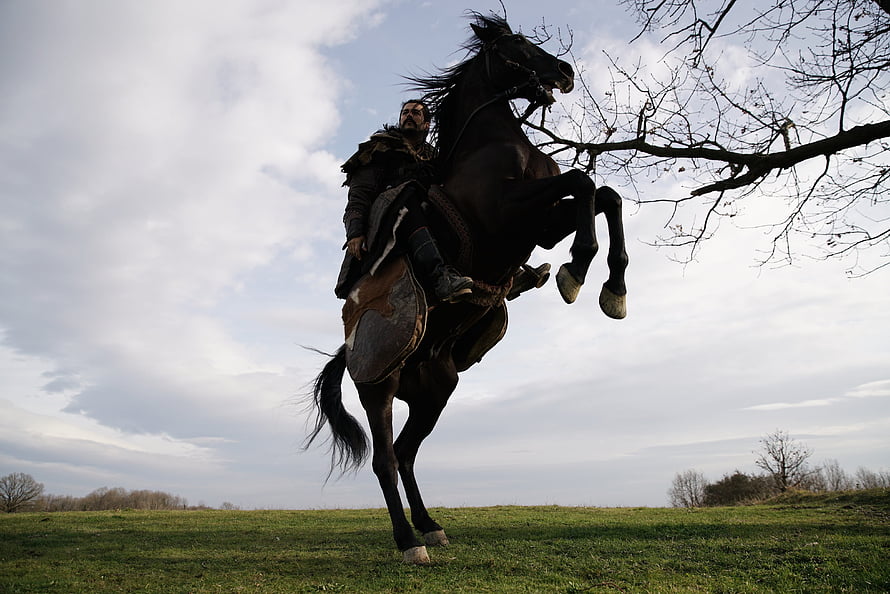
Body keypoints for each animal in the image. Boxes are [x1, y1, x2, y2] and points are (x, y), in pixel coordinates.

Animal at [308, 13, 628, 564]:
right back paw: (409, 542)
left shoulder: (541, 224)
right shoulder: (507, 213)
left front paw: (611, 287)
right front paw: (578, 269)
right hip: (379, 390)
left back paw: (431, 526)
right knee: (385, 461)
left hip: (435, 391)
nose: (564, 72)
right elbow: (583, 181)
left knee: (406, 455)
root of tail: (346, 352)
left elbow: (605, 195)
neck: (493, 143)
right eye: (515, 44)